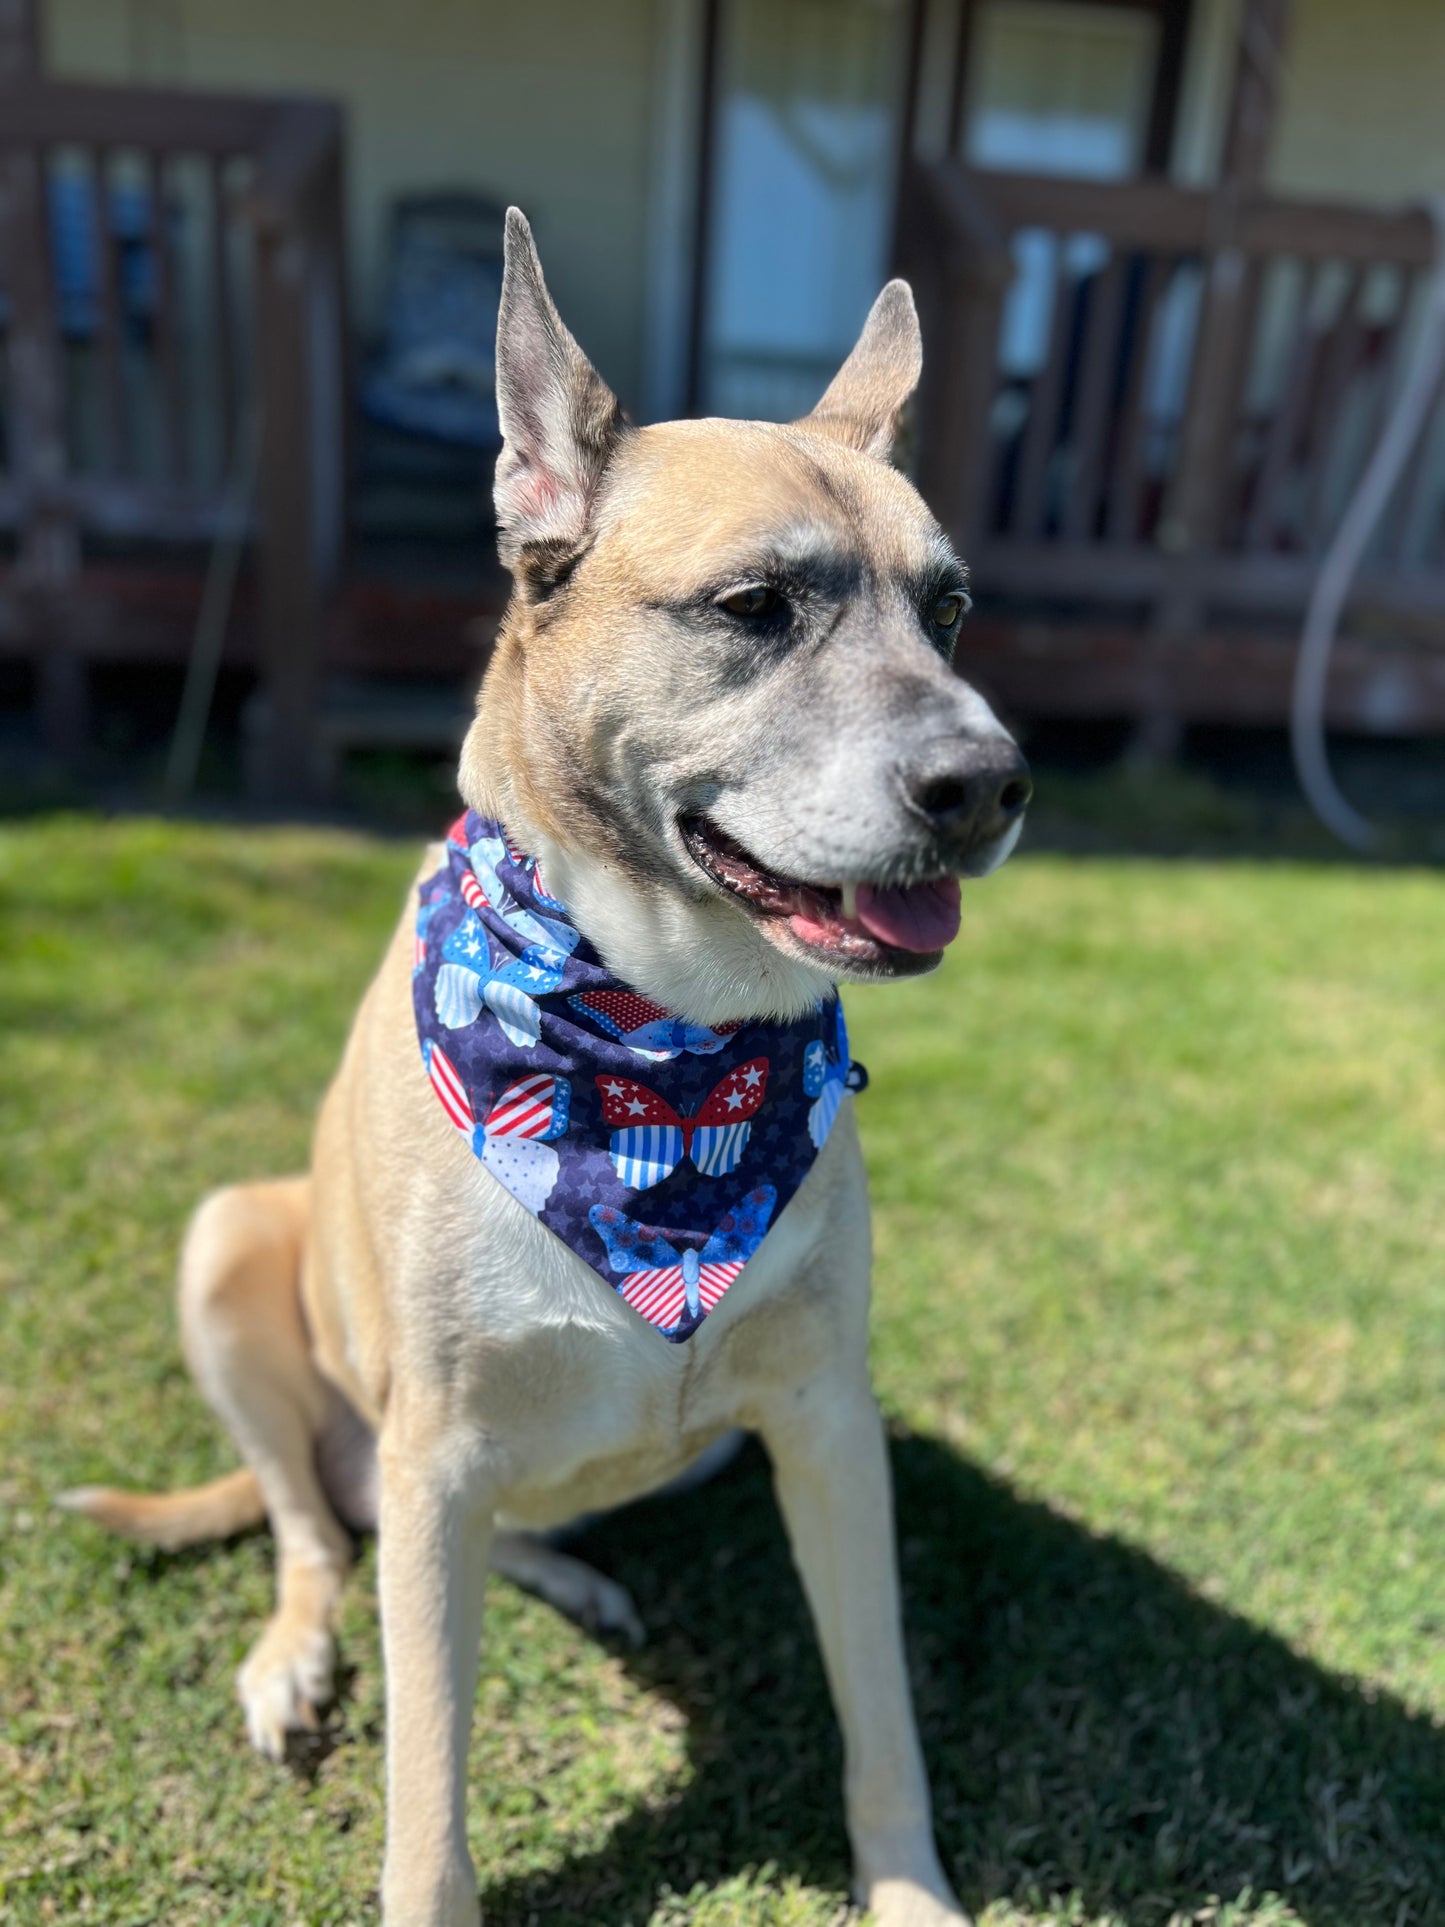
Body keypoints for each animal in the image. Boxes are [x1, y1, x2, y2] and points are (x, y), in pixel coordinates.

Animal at [65, 214, 1032, 1927]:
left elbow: (882, 1715)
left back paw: (566, 1569)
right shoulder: (440, 1432)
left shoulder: (827, 1424)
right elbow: (427, 1798)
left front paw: (911, 1892)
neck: (659, 1064)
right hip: (236, 1251)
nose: (989, 783)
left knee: (438, 1525)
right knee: (319, 1526)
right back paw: (294, 1652)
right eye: (754, 604)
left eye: (954, 607)